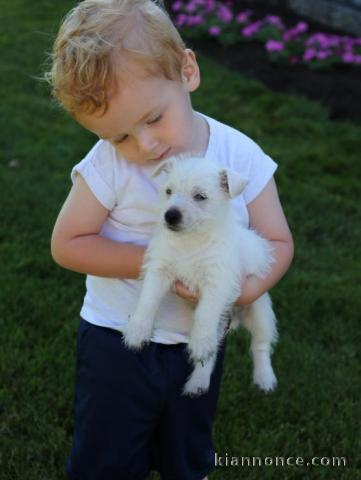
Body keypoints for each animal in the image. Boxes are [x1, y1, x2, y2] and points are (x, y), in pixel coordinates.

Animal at [122, 156, 278, 396]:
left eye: (200, 197)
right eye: (168, 191)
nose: (170, 215)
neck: (191, 241)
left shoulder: (217, 282)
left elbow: (206, 313)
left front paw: (201, 342)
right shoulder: (159, 269)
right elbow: (148, 300)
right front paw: (137, 331)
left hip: (260, 309)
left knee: (260, 345)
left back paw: (264, 378)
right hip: (218, 323)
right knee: (210, 355)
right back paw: (198, 382)